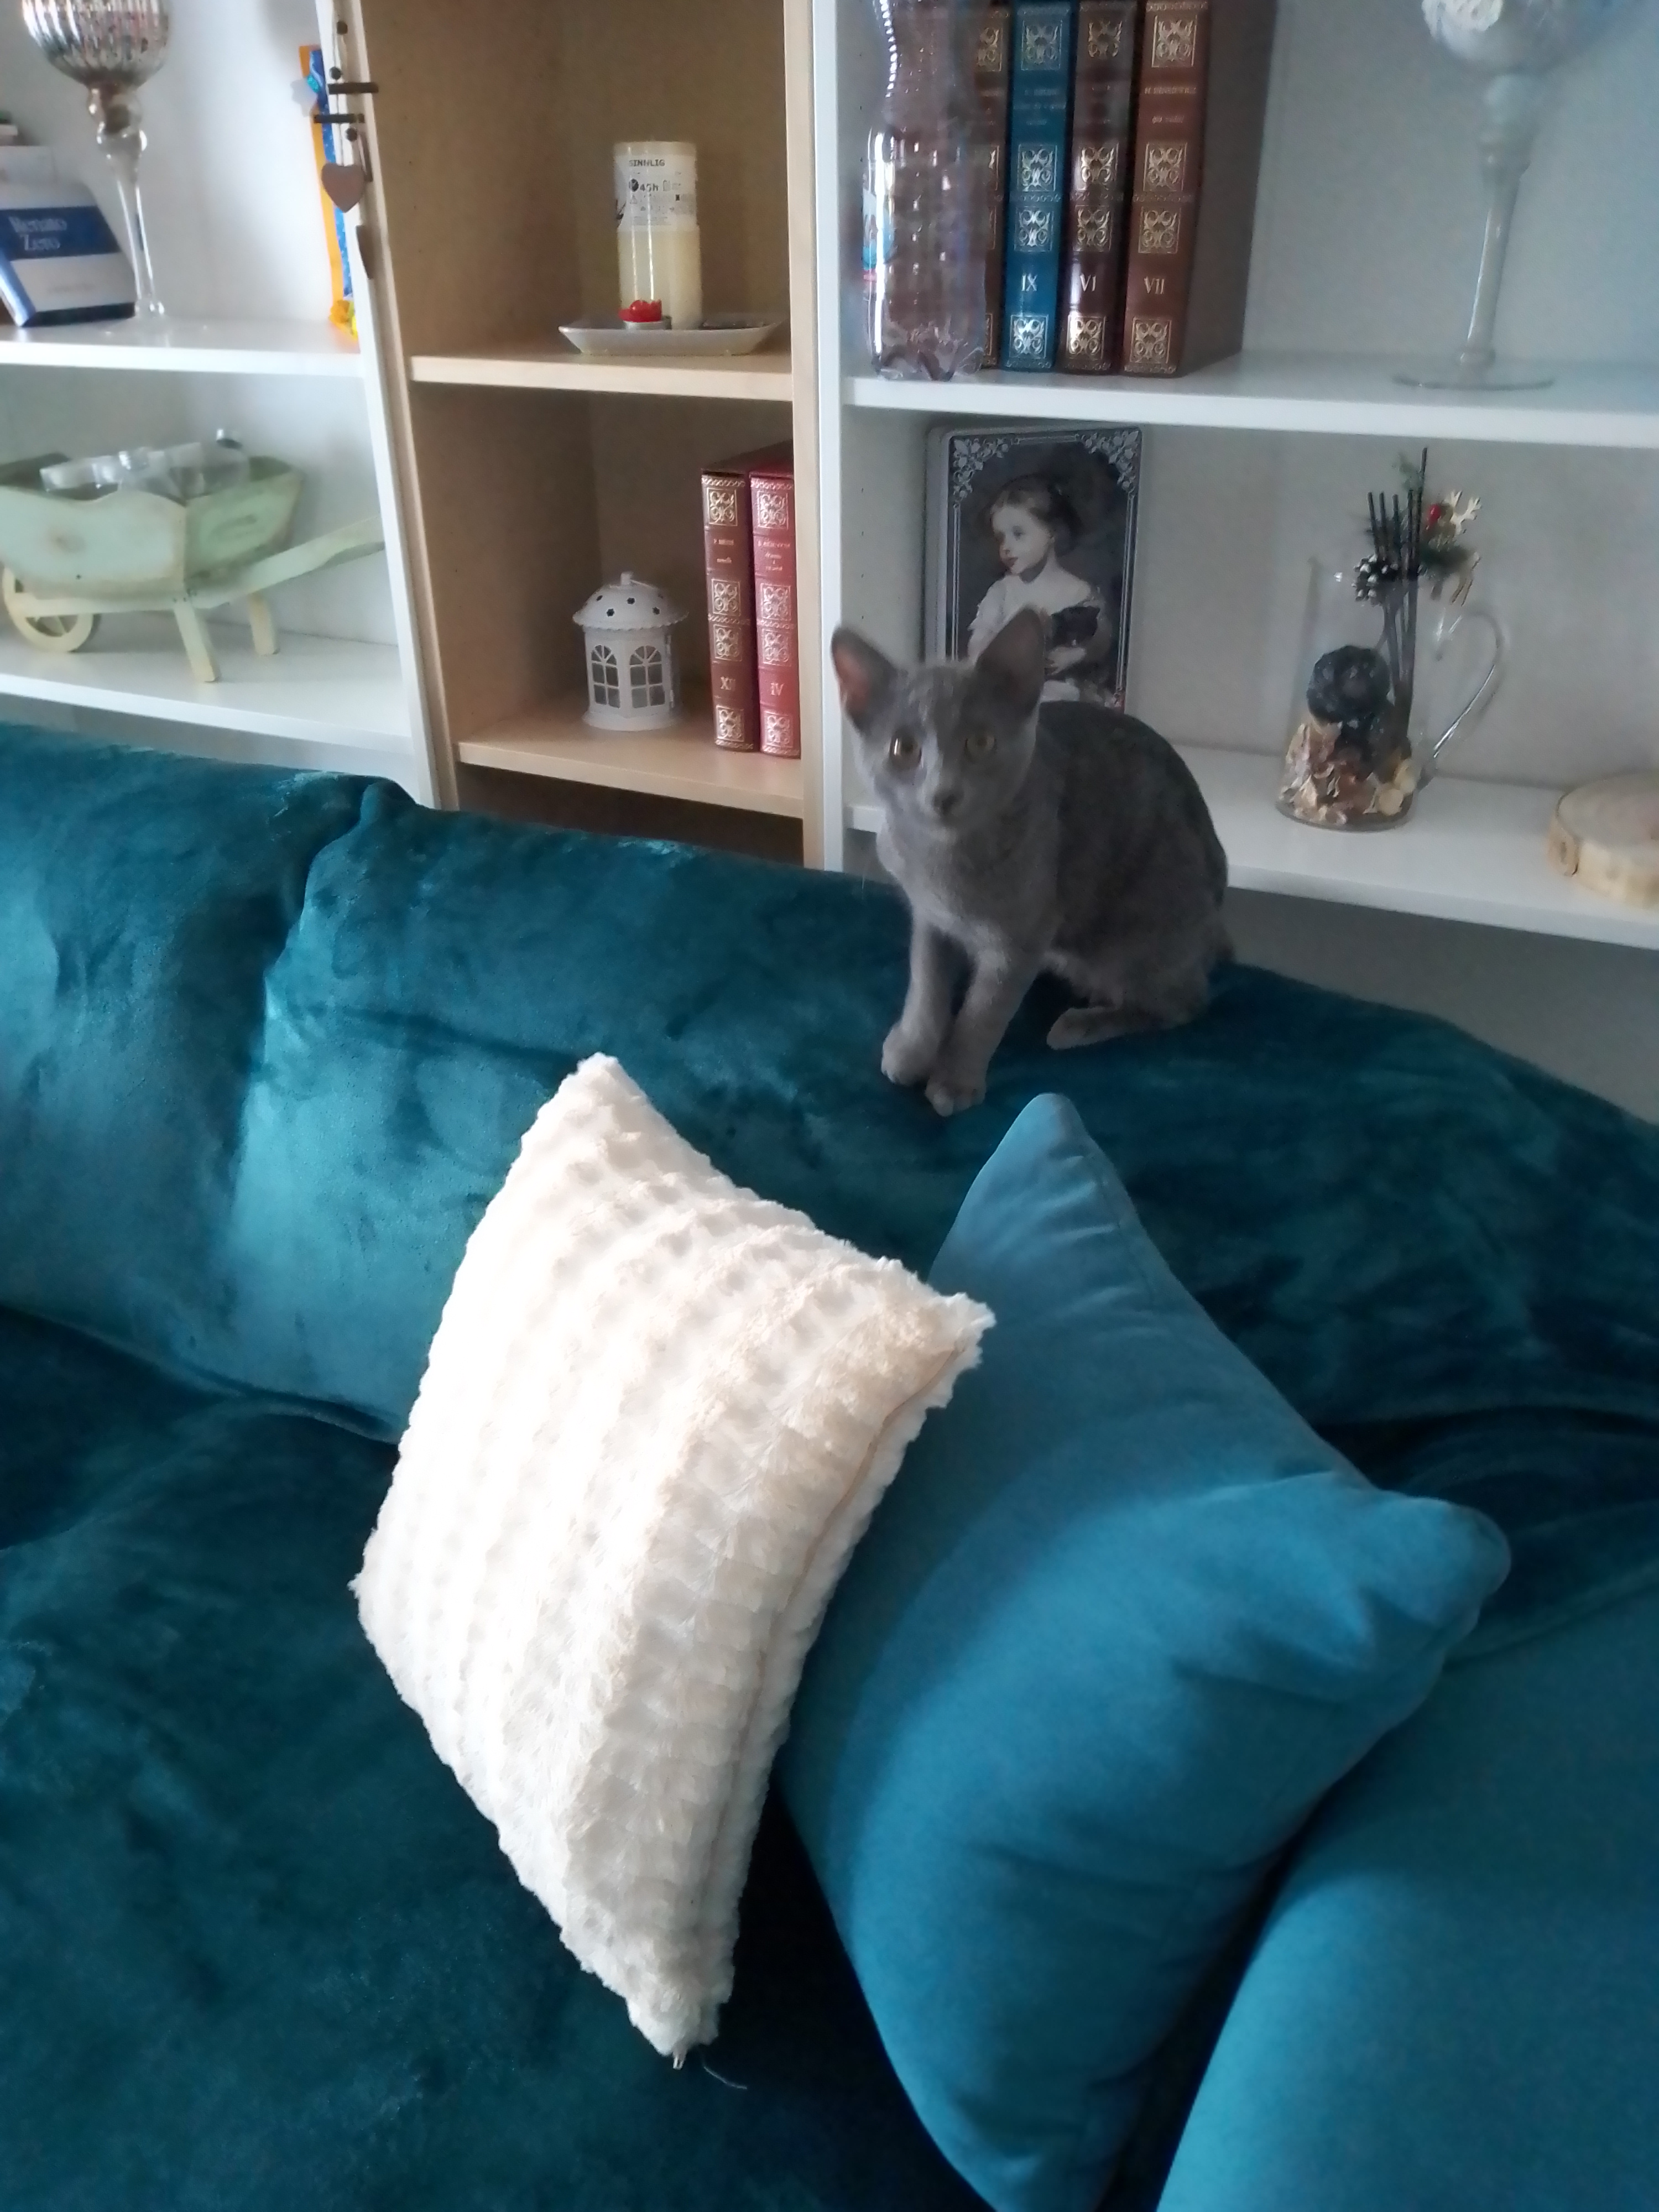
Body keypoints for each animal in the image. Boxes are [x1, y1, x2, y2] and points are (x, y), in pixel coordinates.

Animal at [832, 606, 1229, 1117]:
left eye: (981, 743)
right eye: (904, 748)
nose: (943, 793)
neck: (944, 861)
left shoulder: (1023, 936)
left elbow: (983, 1012)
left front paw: (955, 1081)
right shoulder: (930, 918)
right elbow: (925, 986)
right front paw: (912, 1050)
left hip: (1144, 931)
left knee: (1185, 1003)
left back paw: (1079, 1024)